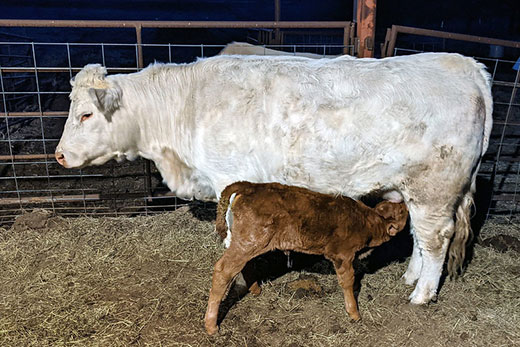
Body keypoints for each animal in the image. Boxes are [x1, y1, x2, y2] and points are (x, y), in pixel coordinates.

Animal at [55, 53, 492, 306]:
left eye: (86, 115)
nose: (59, 154)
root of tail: (466, 64)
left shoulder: (231, 179)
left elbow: (232, 239)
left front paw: (241, 283)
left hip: (434, 186)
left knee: (436, 238)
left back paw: (422, 294)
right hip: (414, 190)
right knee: (420, 235)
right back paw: (411, 276)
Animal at [205, 184, 408, 336]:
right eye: (403, 212)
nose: (405, 203)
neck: (367, 221)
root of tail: (250, 186)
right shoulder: (342, 254)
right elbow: (348, 280)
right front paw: (354, 313)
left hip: (250, 243)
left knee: (244, 264)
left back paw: (255, 289)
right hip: (249, 241)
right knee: (223, 270)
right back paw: (211, 325)